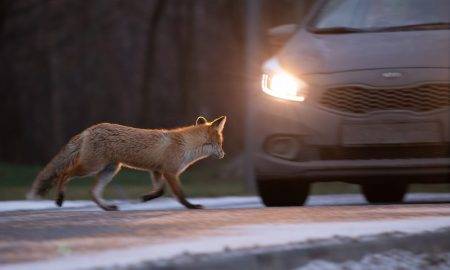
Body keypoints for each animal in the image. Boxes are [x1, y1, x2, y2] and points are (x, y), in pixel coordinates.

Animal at [26, 116, 227, 211]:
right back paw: (60, 198)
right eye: (220, 143)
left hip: (110, 170)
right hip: (91, 167)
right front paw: (191, 206)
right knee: (64, 174)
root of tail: (89, 129)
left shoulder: (157, 170)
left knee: (93, 192)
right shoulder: (170, 172)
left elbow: (160, 191)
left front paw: (145, 198)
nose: (224, 154)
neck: (186, 145)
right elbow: (180, 194)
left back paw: (107, 207)